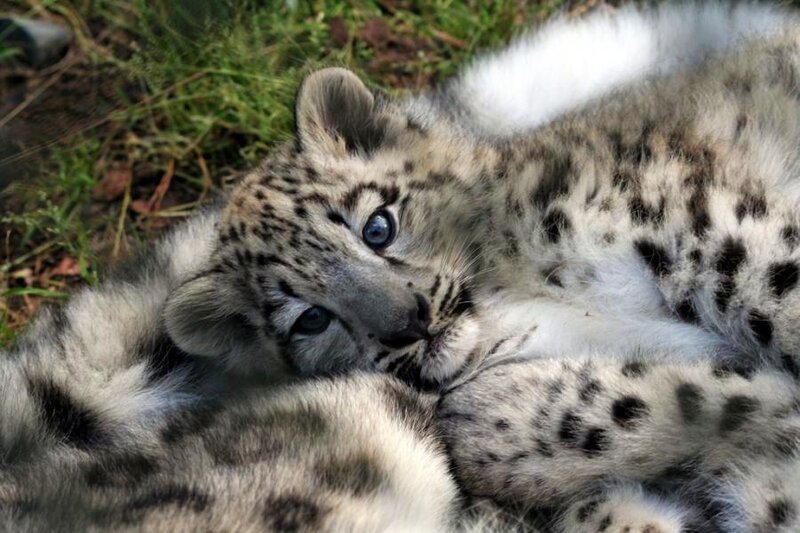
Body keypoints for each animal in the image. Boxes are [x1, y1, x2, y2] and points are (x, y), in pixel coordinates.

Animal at [2, 2, 800, 532]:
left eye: (377, 224)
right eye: (309, 318)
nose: (409, 323)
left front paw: (497, 419)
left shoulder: (702, 224)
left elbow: (774, 319)